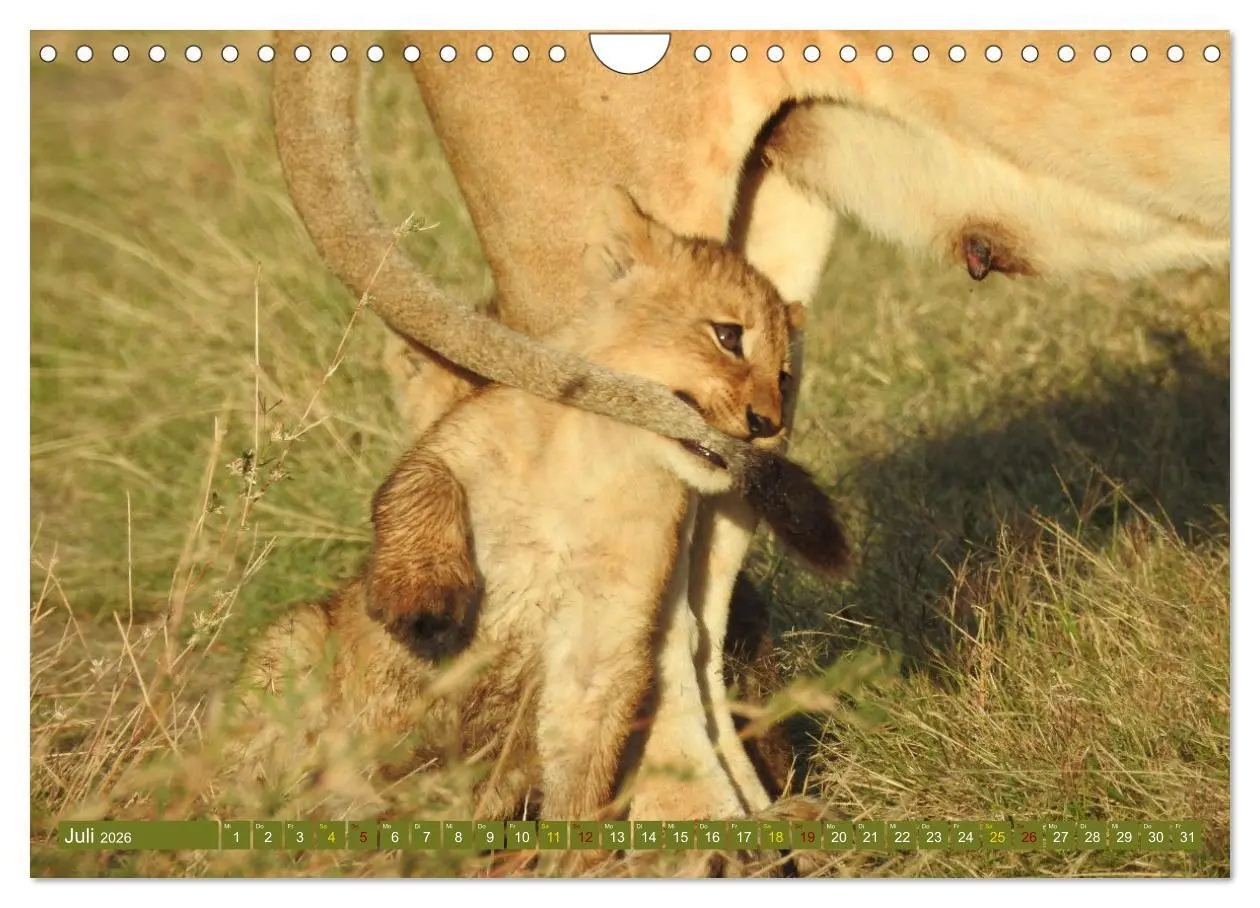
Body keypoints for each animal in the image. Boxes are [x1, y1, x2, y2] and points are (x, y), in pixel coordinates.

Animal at [240, 186, 847, 822]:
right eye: (728, 336)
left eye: (786, 376)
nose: (768, 425)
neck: (606, 454)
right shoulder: (451, 446)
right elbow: (419, 490)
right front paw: (424, 602)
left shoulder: (604, 634)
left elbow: (587, 756)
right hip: (294, 643)